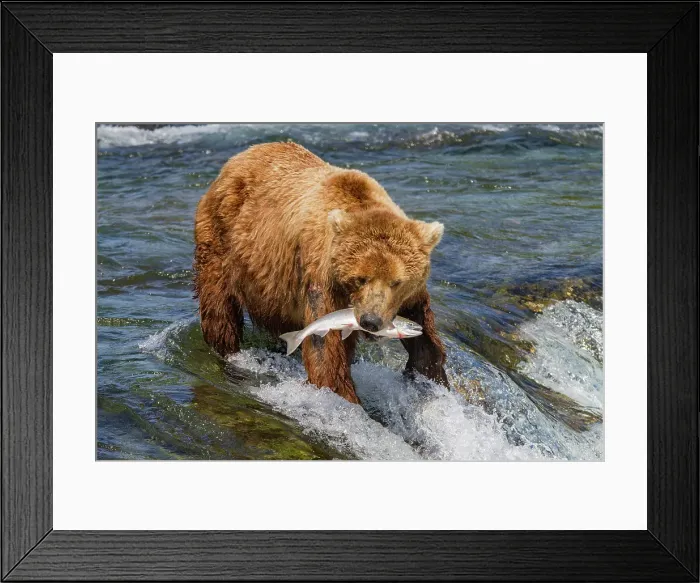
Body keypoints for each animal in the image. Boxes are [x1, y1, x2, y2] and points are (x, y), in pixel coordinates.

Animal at [194, 142, 449, 404]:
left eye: (396, 282)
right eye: (360, 279)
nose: (371, 321)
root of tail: (240, 156)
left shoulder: (407, 297)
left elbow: (425, 333)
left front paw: (432, 378)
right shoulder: (322, 277)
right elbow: (325, 350)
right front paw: (344, 397)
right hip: (222, 243)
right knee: (220, 310)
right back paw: (227, 353)